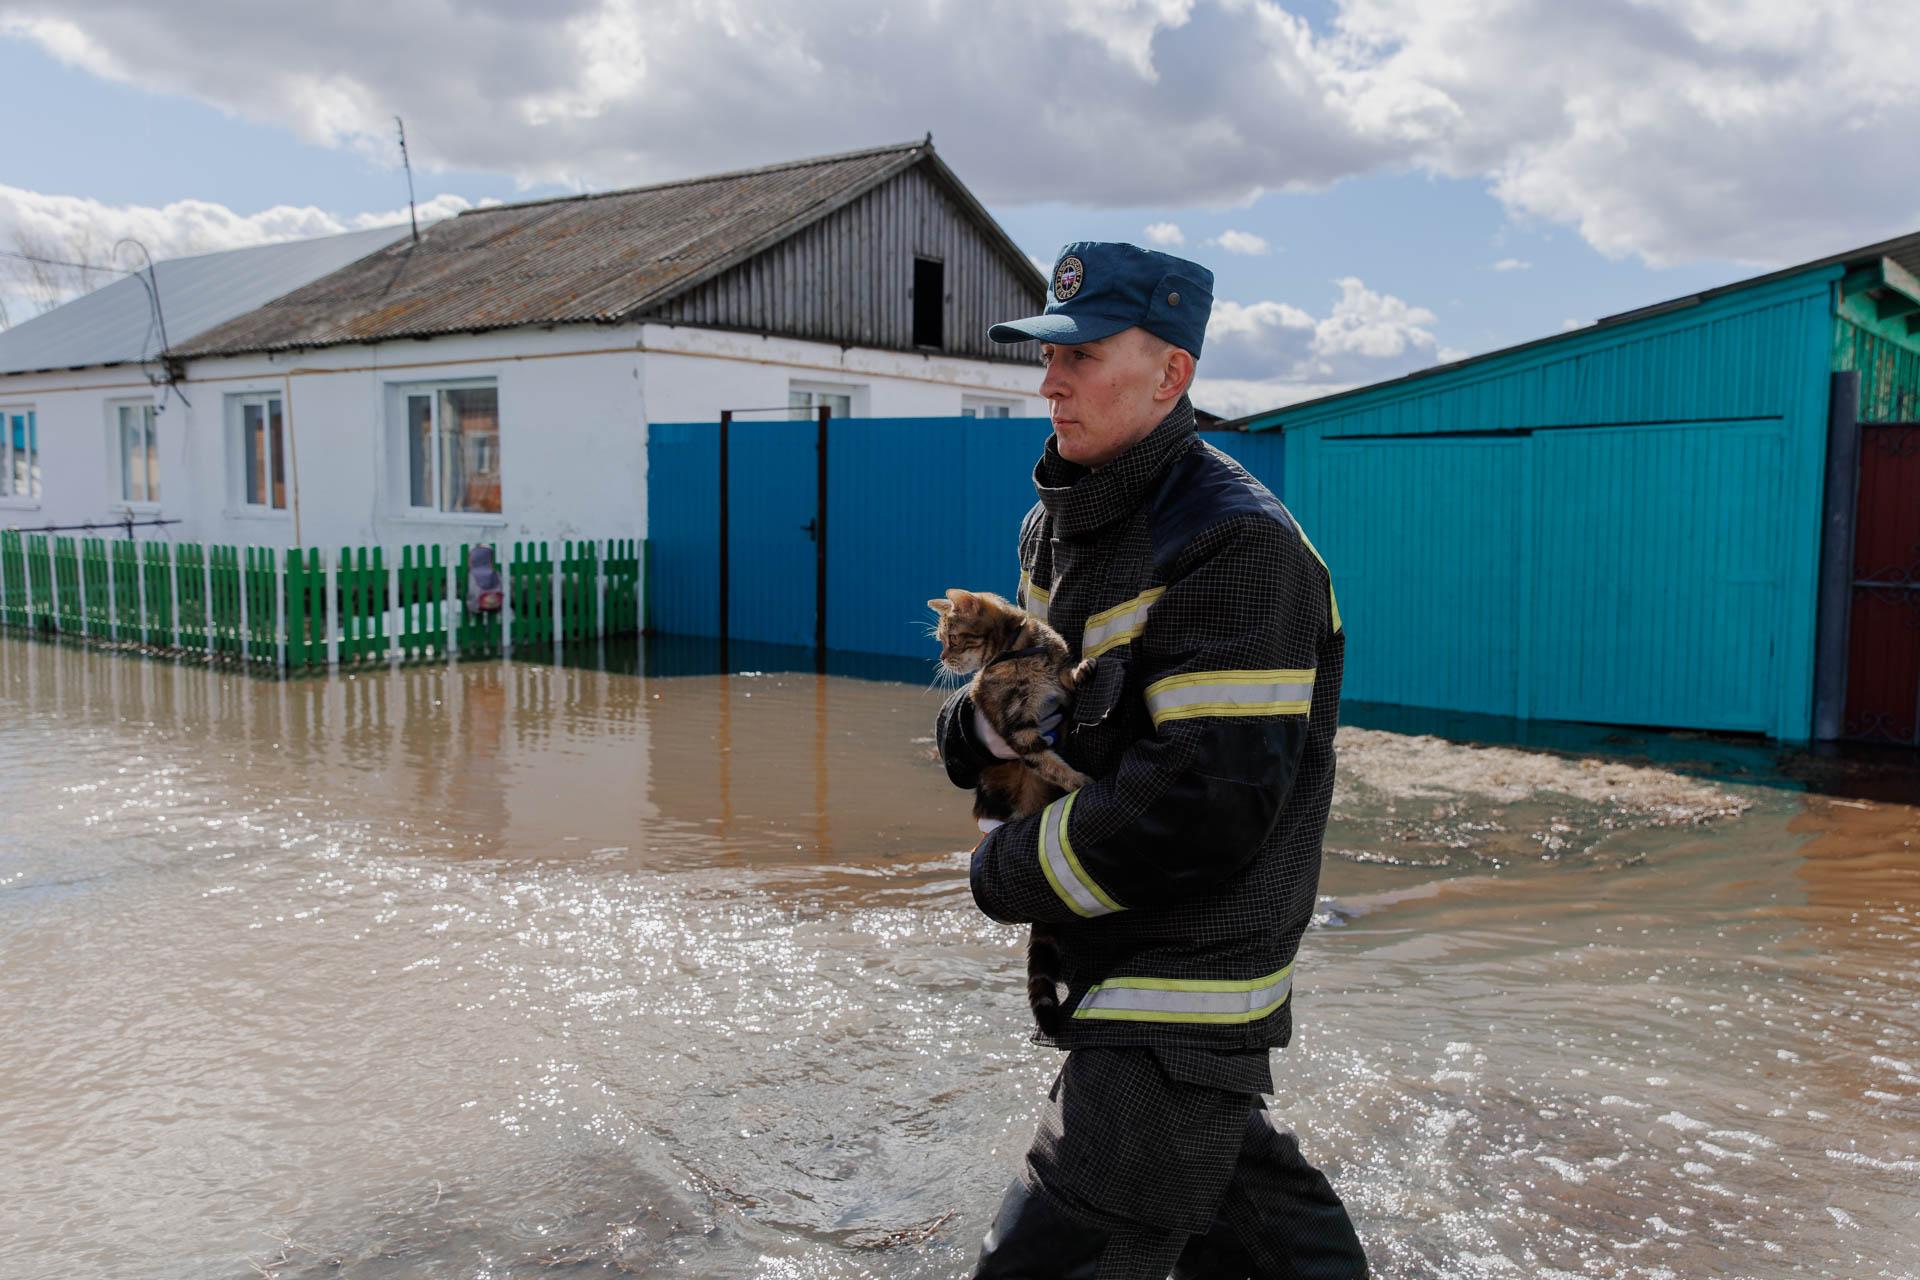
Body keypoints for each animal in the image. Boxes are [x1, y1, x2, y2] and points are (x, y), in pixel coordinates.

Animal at [929, 591, 1098, 1043]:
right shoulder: (1018, 731)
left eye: (952, 637)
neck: (1019, 654)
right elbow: (1049, 761)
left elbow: (1065, 676)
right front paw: (1080, 779)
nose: (942, 658)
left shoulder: (1054, 683)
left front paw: (1081, 669)